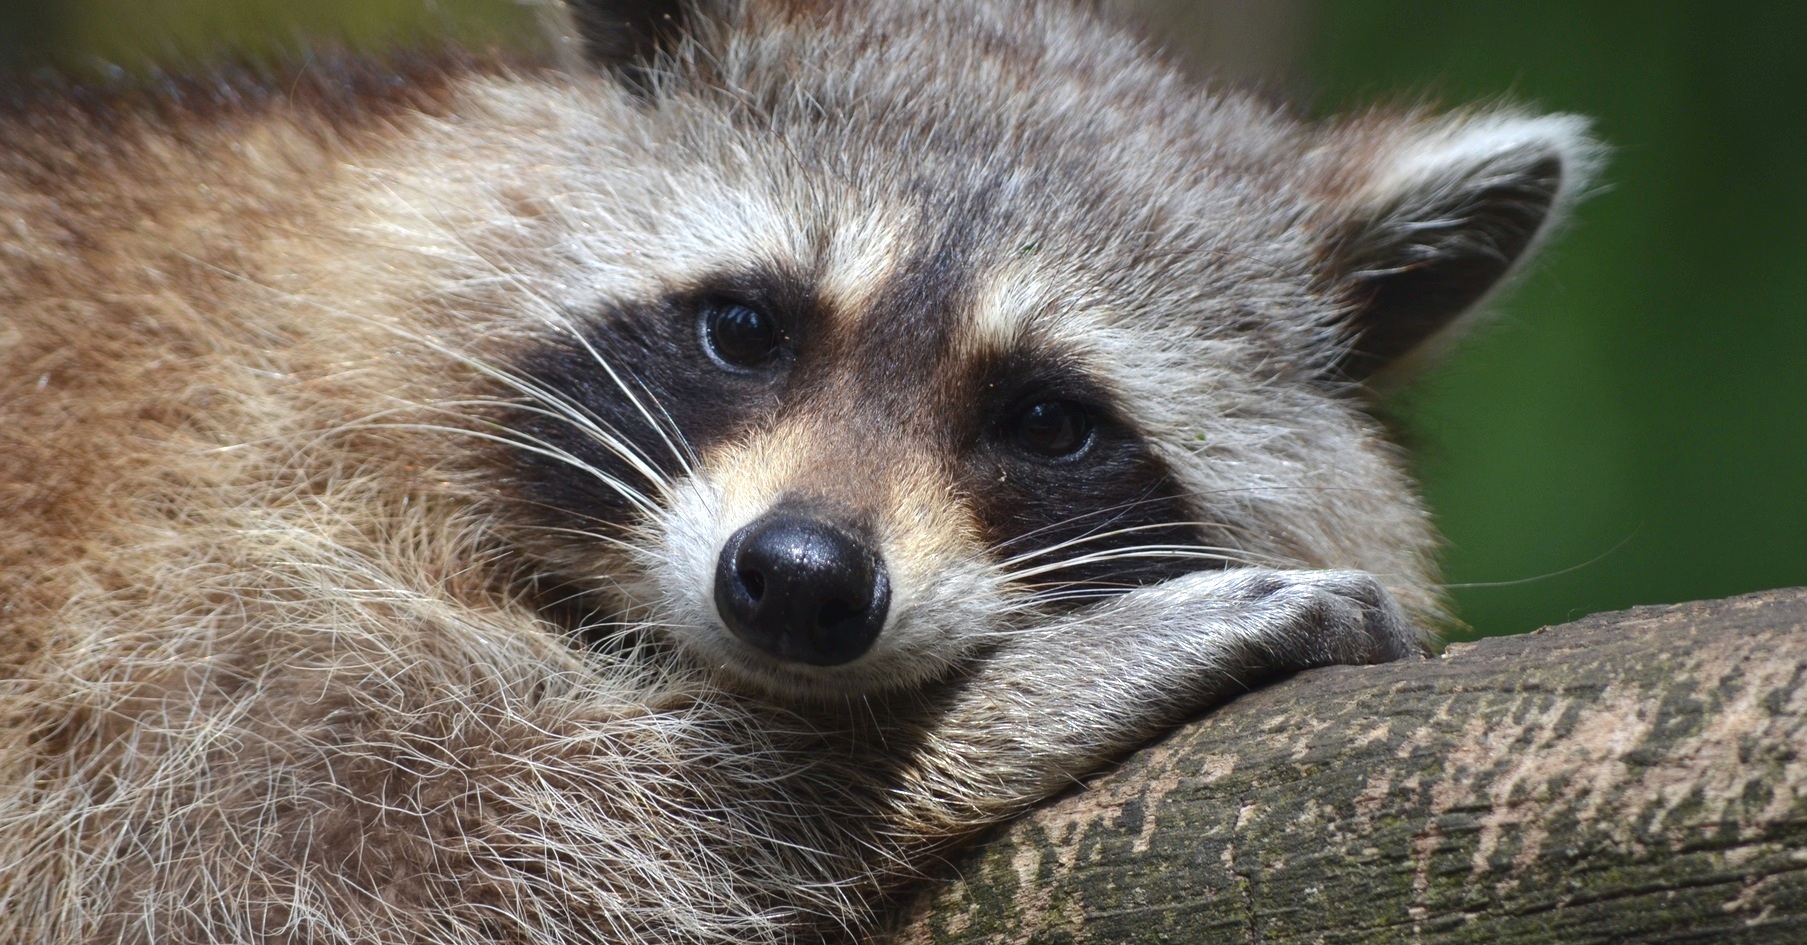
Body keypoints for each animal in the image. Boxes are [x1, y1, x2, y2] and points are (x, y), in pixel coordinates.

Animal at [3, 1, 1597, 945]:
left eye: (1046, 420)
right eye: (745, 328)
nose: (799, 581)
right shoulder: (177, 544)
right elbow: (368, 836)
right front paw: (962, 725)